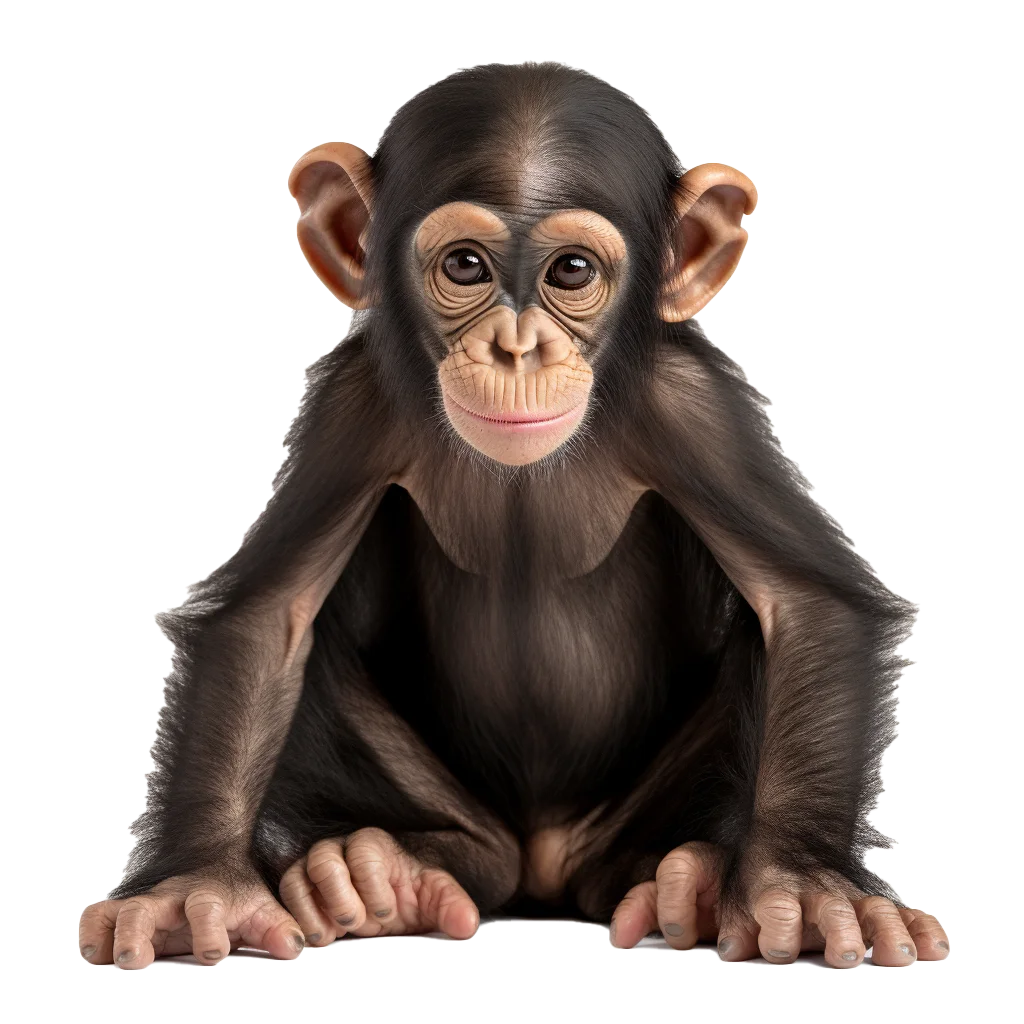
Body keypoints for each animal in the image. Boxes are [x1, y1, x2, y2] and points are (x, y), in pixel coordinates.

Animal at [78, 61, 948, 968]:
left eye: (570, 272)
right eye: (466, 265)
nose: (517, 347)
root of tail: (544, 866)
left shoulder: (694, 408)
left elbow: (802, 605)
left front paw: (804, 884)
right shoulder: (349, 409)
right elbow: (269, 618)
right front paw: (195, 887)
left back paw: (690, 878)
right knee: (461, 836)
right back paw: (380, 872)